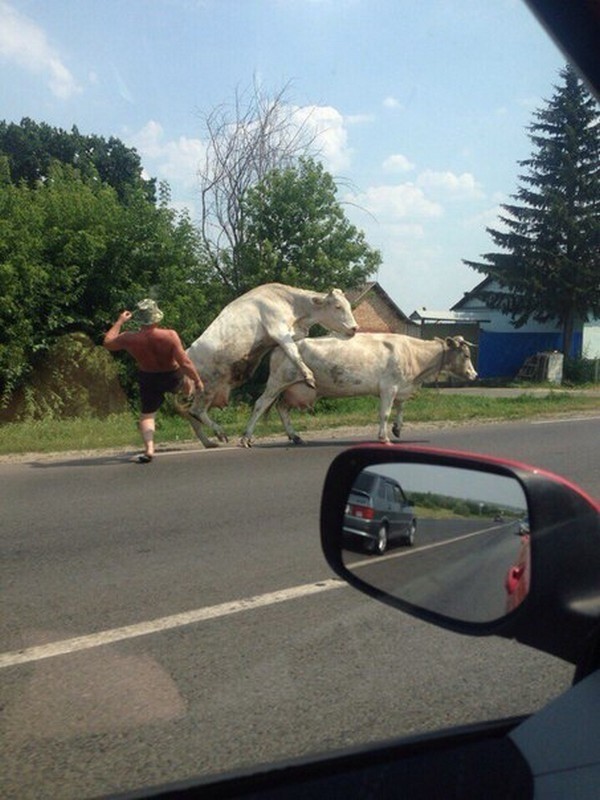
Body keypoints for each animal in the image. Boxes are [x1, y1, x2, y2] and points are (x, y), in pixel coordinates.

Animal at [185, 282, 358, 446]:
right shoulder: (278, 331)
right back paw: (220, 433)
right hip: (209, 387)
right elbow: (294, 353)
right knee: (196, 411)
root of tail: (187, 354)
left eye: (348, 305)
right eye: (338, 306)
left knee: (192, 415)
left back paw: (210, 442)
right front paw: (308, 376)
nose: (355, 328)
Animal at [239, 330, 478, 444]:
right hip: (278, 381)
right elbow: (385, 413)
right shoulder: (389, 387)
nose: (474, 375)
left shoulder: (401, 387)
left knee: (282, 408)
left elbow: (400, 408)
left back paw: (295, 437)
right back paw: (246, 437)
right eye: (466, 355)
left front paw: (397, 428)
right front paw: (384, 437)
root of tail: (280, 346)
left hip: (296, 388)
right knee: (260, 404)